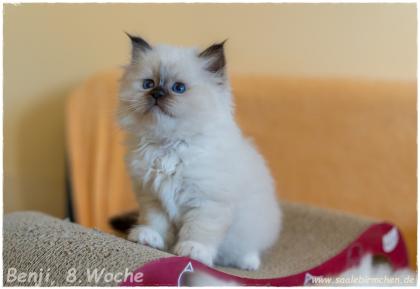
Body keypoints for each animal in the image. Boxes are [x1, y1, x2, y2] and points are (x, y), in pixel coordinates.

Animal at [118, 34, 282, 270]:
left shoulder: (208, 202)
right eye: (148, 84)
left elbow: (199, 231)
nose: (157, 93)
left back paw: (248, 263)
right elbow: (155, 222)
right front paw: (149, 239)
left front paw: (193, 251)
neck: (169, 145)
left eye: (178, 88)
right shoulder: (152, 196)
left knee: (248, 249)